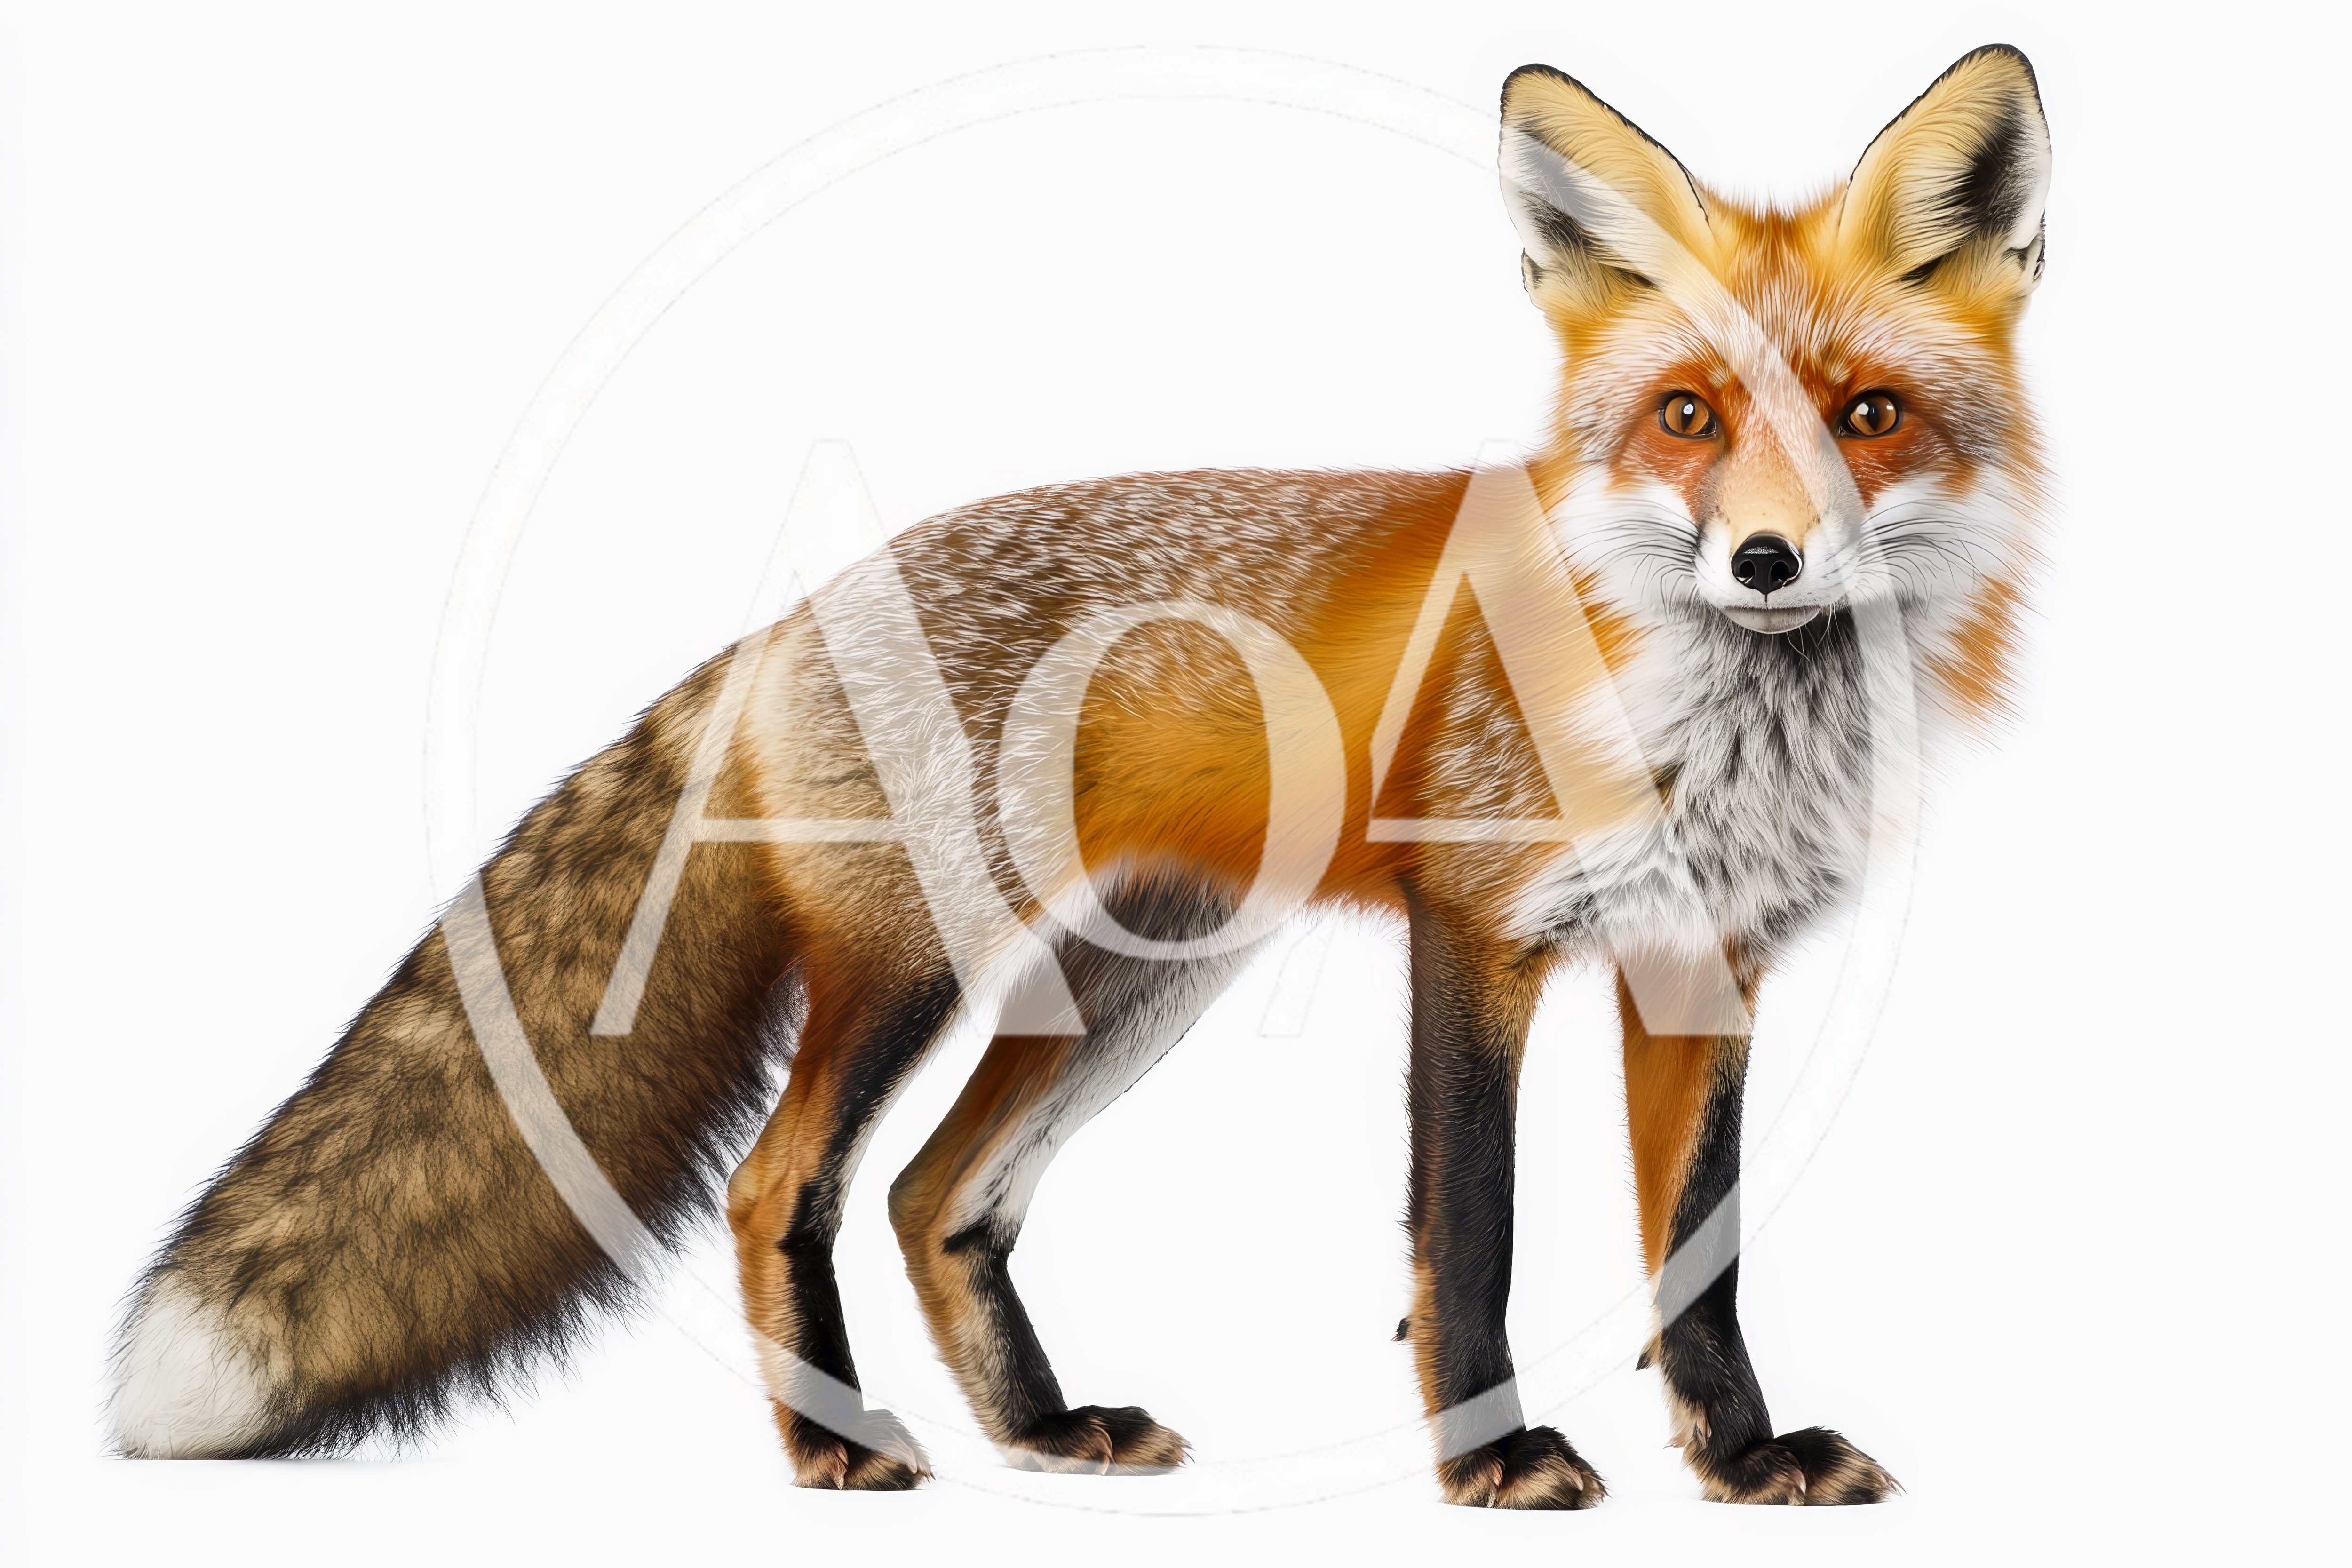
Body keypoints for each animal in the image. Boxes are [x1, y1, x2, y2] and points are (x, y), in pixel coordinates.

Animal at [109, 46, 2050, 1509]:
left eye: (1868, 417)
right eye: (1688, 419)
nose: (1766, 565)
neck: (1720, 719)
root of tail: (800, 610)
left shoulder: (1703, 964)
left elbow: (1701, 1255)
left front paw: (1740, 1459)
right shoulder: (1476, 932)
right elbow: (1473, 1234)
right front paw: (1492, 1465)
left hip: (1136, 985)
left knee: (934, 1197)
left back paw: (1041, 1429)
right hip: (918, 964)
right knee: (783, 1186)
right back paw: (837, 1449)